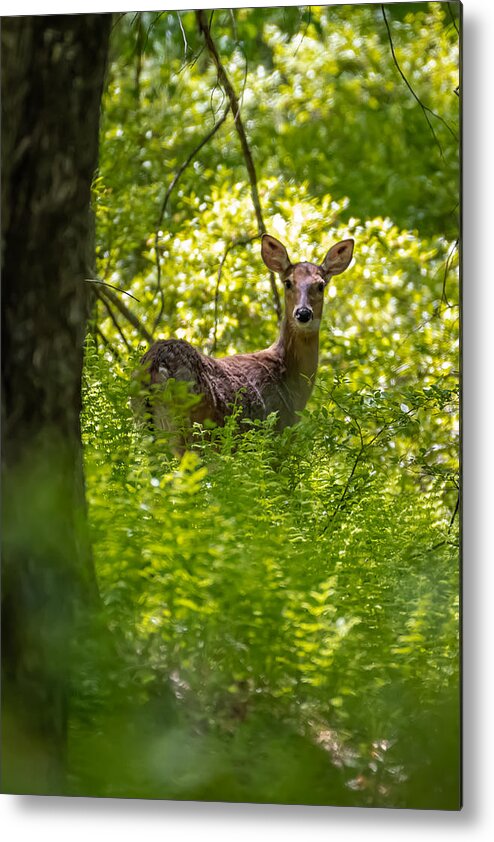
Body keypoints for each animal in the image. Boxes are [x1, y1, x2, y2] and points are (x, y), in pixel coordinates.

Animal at [133, 231, 354, 446]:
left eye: (321, 285)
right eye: (288, 282)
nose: (303, 313)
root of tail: (155, 363)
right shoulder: (277, 431)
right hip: (191, 426)